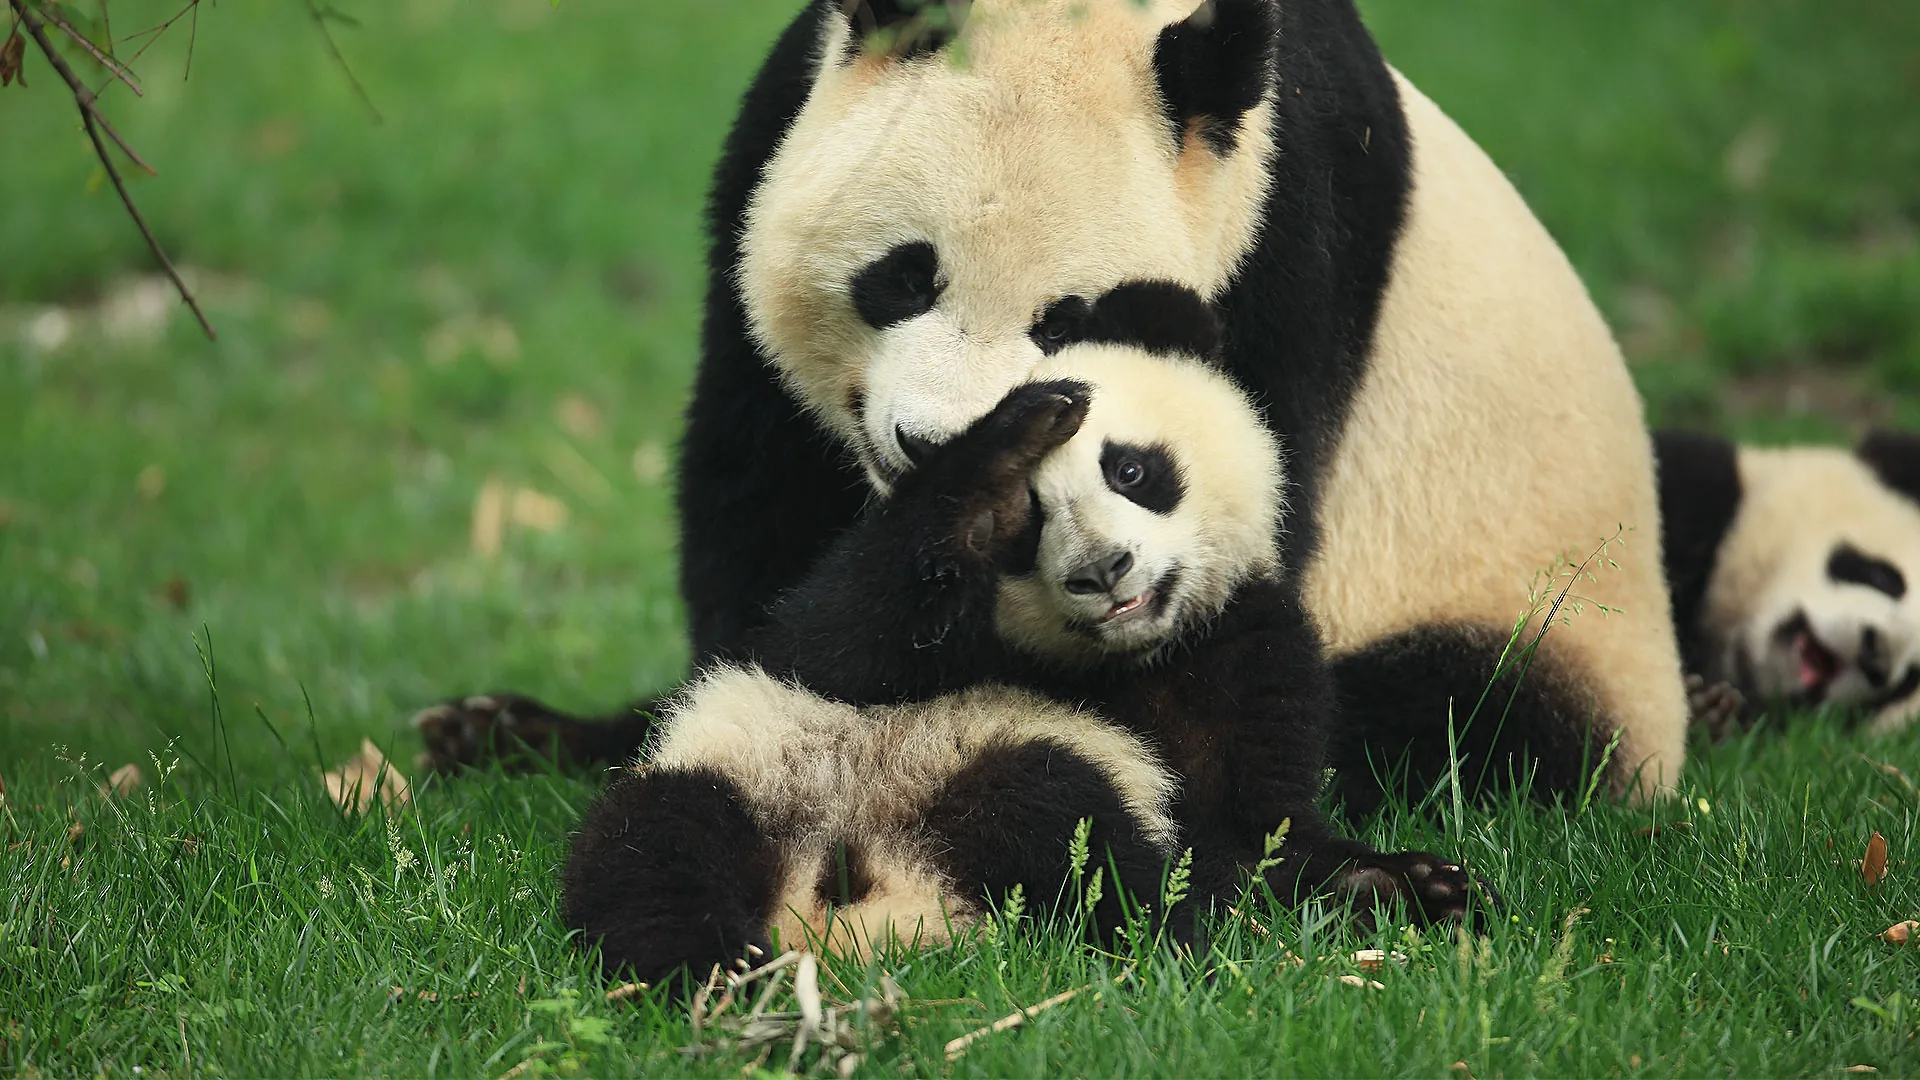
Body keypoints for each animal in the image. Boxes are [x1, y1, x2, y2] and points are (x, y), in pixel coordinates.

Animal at [418, 0, 1689, 808]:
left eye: (1065, 320)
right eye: (903, 276)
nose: (930, 445)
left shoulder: (1288, 232)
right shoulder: (775, 135)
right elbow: (764, 508)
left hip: (1539, 601)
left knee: (1472, 718)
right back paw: (502, 729)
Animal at [562, 323, 1493, 986]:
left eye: (1130, 469)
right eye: (1032, 526)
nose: (1104, 570)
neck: (1116, 663)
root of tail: (853, 894)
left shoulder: (1244, 645)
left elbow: (1253, 828)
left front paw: (1409, 885)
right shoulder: (847, 644)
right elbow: (832, 636)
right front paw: (1001, 453)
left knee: (1059, 820)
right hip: (733, 776)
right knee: (656, 864)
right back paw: (721, 974)